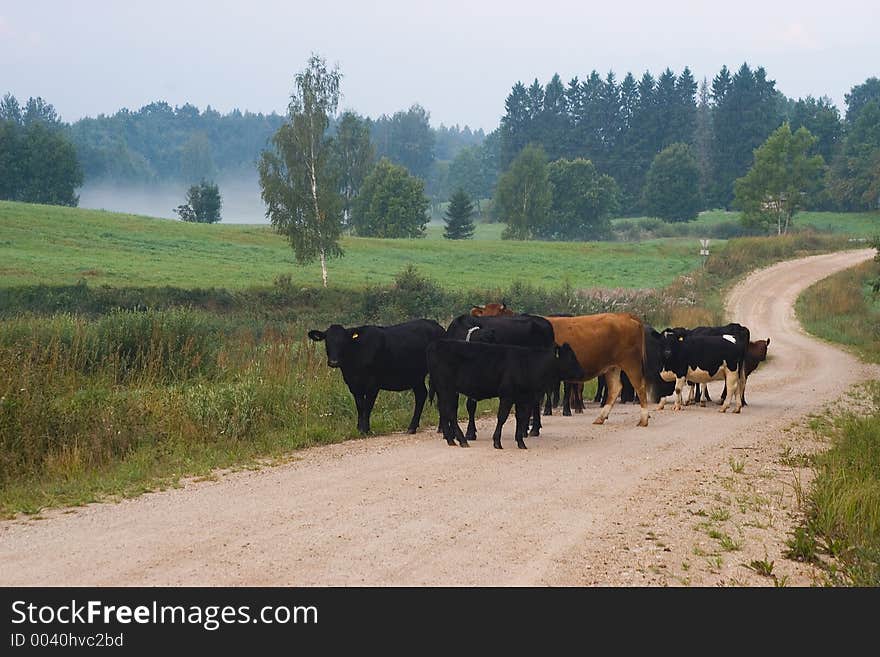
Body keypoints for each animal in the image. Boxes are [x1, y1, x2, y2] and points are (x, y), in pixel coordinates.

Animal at [310, 320, 446, 436]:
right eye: (327, 341)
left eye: (343, 342)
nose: (333, 362)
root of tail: (437, 326)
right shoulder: (354, 385)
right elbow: (360, 405)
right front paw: (359, 428)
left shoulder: (373, 384)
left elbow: (368, 406)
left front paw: (365, 429)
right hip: (416, 376)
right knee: (421, 395)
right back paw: (412, 428)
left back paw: (440, 428)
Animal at [426, 338, 584, 452]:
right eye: (571, 357)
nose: (581, 372)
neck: (527, 364)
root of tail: (437, 344)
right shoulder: (507, 395)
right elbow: (502, 417)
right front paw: (497, 442)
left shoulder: (523, 398)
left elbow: (521, 418)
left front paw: (520, 442)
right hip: (447, 388)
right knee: (450, 412)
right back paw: (462, 440)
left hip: (444, 390)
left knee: (444, 410)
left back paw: (451, 440)